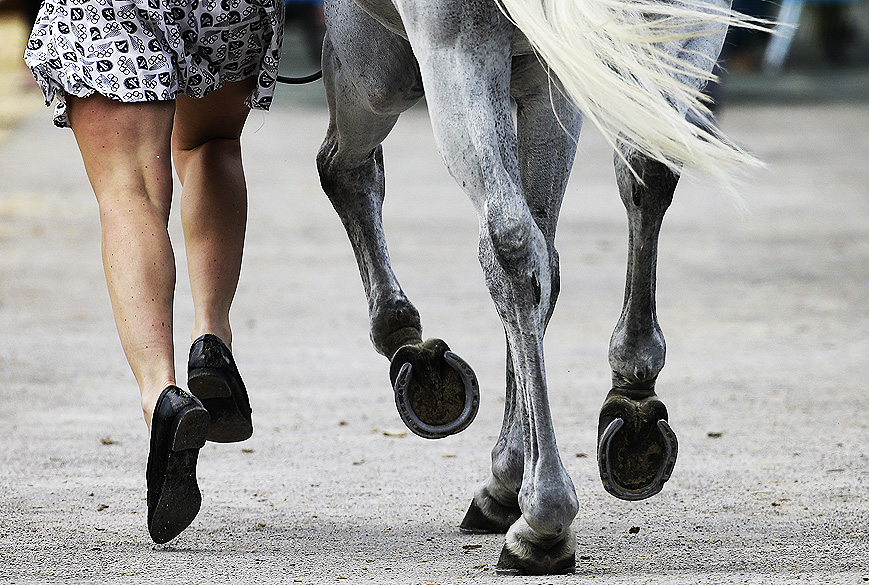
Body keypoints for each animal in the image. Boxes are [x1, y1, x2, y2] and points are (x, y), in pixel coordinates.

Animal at [316, 0, 756, 572]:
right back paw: (628, 403)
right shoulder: (548, 72)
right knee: (639, 171)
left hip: (417, 55)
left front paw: (408, 344)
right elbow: (551, 258)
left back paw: (543, 516)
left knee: (499, 238)